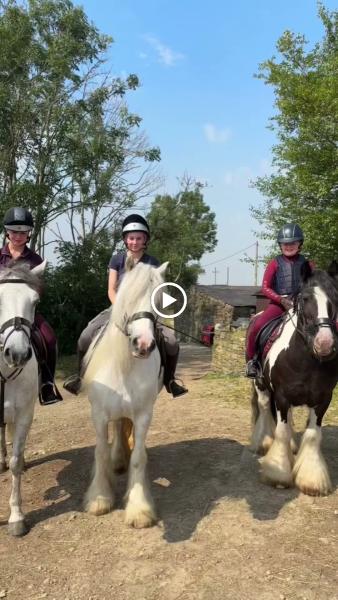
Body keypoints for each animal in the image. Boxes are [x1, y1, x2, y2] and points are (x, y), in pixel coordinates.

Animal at [83, 260, 168, 528]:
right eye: (128, 298)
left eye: (159, 300)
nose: (143, 345)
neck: (125, 366)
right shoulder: (98, 414)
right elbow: (100, 452)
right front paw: (100, 499)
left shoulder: (143, 414)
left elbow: (139, 457)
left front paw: (139, 509)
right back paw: (117, 459)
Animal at [251, 262, 338, 496]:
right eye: (305, 298)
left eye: (335, 297)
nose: (324, 343)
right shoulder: (281, 396)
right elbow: (281, 432)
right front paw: (278, 474)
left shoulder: (322, 400)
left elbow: (313, 434)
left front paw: (311, 480)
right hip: (261, 385)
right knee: (265, 408)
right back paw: (263, 443)